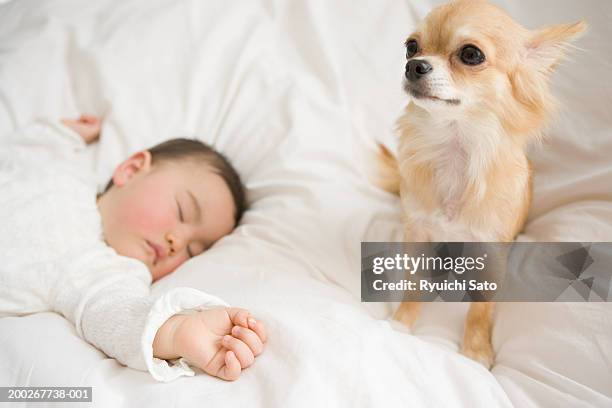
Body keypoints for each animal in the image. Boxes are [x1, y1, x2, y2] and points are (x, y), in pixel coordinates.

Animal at [380, 0, 584, 368]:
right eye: (411, 47)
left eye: (471, 54)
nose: (413, 65)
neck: (455, 150)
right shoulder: (417, 233)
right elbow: (414, 284)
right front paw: (402, 322)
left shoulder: (491, 250)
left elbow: (481, 308)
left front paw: (475, 351)